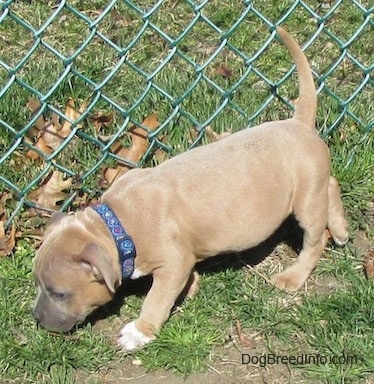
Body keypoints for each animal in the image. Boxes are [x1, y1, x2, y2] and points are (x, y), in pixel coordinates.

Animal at [31, 27, 348, 352]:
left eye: (59, 293)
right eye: (38, 284)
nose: (37, 318)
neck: (116, 225)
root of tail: (299, 123)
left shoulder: (172, 262)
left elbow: (156, 299)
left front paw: (140, 331)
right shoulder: (182, 257)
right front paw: (191, 287)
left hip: (306, 200)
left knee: (314, 239)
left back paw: (296, 274)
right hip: (313, 187)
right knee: (332, 185)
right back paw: (341, 229)